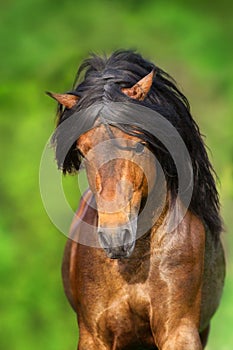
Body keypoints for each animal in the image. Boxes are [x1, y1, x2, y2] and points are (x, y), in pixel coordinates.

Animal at [47, 50, 226, 348]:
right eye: (83, 151)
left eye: (140, 144)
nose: (115, 237)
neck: (133, 268)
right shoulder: (94, 335)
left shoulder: (179, 330)